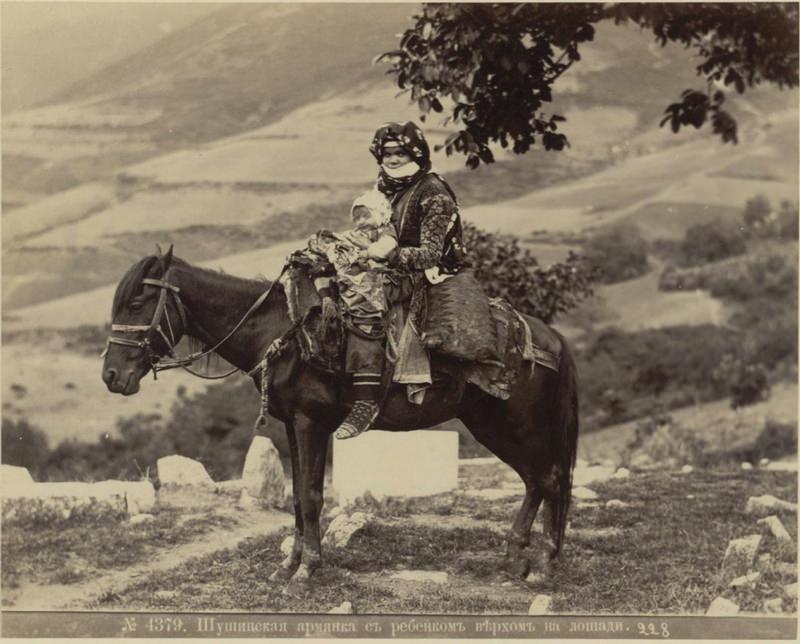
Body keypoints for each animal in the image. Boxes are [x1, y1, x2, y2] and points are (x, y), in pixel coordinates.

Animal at [101, 248, 580, 584]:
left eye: (138, 303)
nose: (111, 375)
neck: (282, 333)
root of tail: (549, 336)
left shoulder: (310, 423)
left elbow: (312, 496)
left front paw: (308, 569)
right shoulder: (292, 426)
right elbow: (298, 496)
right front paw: (289, 565)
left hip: (515, 423)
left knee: (550, 477)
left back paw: (542, 564)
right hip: (494, 426)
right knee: (536, 480)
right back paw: (515, 558)